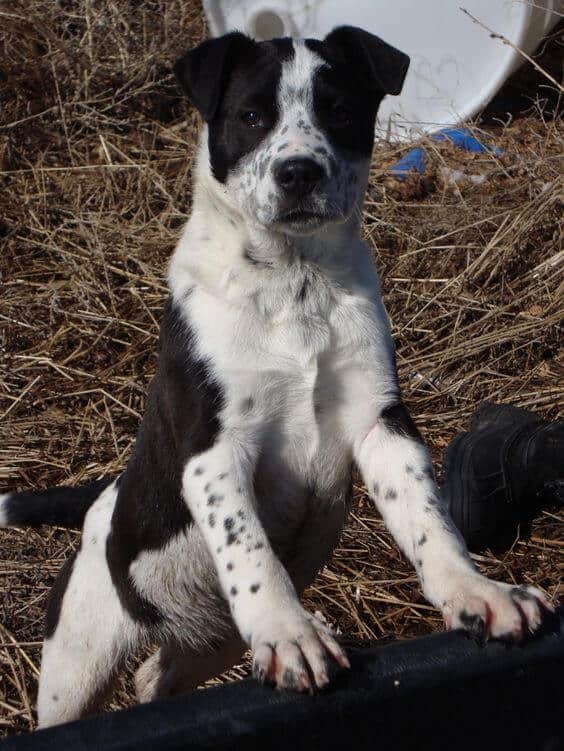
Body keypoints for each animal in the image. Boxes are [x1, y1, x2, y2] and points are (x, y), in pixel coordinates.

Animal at [1, 27, 552, 728]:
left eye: (338, 111)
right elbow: (251, 550)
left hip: (210, 639)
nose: (299, 172)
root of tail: (103, 496)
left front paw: (478, 592)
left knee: (155, 678)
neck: (293, 280)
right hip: (78, 659)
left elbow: (429, 522)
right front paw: (292, 632)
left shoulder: (381, 424)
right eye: (251, 116)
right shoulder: (214, 452)